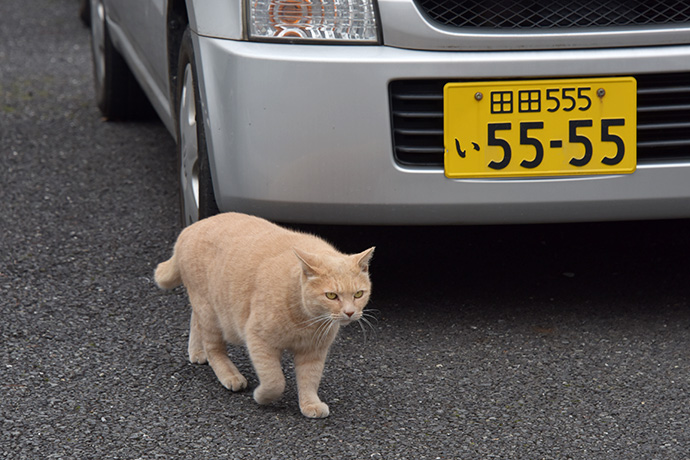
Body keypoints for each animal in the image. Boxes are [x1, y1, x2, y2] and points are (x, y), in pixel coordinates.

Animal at [154, 214, 374, 418]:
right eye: (331, 296)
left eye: (358, 294)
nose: (349, 312)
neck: (306, 321)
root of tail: (190, 228)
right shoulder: (259, 340)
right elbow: (275, 380)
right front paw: (261, 396)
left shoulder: (313, 351)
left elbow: (309, 379)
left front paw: (310, 404)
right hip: (210, 312)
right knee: (214, 348)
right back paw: (229, 374)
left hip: (206, 305)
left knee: (195, 320)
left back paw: (196, 351)